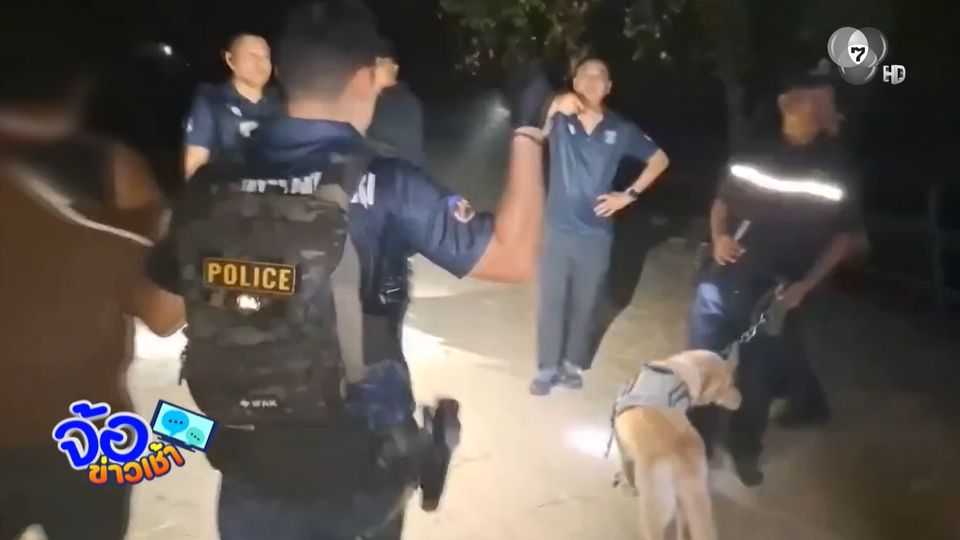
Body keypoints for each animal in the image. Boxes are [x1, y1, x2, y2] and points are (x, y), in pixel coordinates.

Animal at [612, 350, 742, 540]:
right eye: (728, 385)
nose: (741, 400)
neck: (679, 371)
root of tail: (680, 455)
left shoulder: (621, 444)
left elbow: (626, 467)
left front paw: (628, 485)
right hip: (692, 498)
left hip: (654, 512)